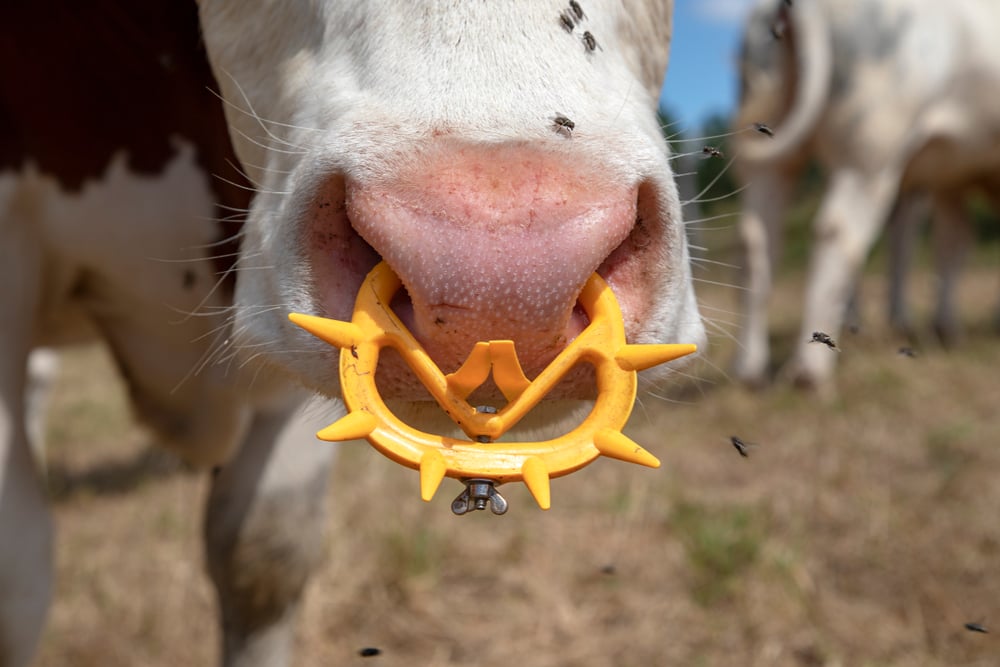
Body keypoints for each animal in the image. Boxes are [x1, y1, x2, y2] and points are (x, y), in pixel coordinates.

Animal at [730, 0, 1000, 389]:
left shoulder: (949, 178)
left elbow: (952, 242)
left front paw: (944, 326)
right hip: (871, 144)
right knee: (837, 232)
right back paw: (810, 373)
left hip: (772, 156)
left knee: (756, 240)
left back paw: (750, 369)